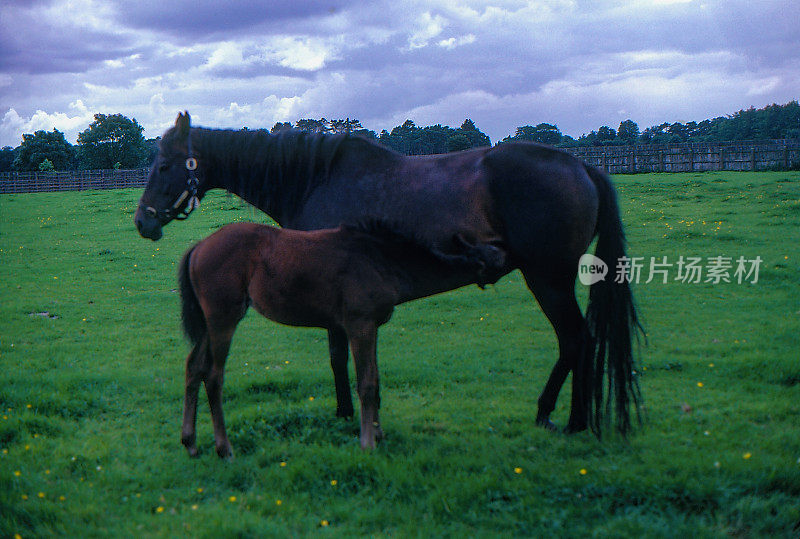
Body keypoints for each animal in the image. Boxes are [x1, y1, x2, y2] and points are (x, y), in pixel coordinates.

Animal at [181, 219, 506, 456]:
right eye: (491, 255)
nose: (505, 252)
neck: (381, 260)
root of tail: (198, 247)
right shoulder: (359, 325)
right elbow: (366, 383)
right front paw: (367, 443)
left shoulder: (372, 326)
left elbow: (374, 379)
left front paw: (377, 432)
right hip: (223, 320)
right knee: (213, 376)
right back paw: (224, 448)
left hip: (211, 324)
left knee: (194, 367)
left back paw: (191, 442)